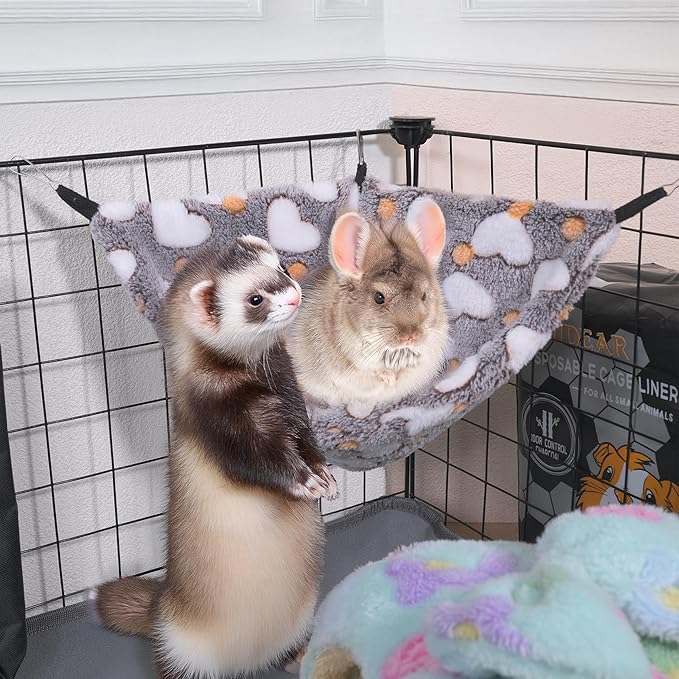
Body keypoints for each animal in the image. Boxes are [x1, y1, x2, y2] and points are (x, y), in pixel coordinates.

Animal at [93, 235, 337, 679]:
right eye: (254, 299)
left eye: (280, 266)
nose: (293, 295)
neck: (261, 388)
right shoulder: (224, 427)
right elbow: (263, 463)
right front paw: (306, 481)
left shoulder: (293, 402)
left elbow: (306, 440)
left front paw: (324, 473)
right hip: (180, 645)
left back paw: (300, 656)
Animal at [288, 198, 448, 414]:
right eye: (379, 298)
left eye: (424, 295)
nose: (410, 338)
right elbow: (373, 372)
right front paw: (389, 378)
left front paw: (396, 377)